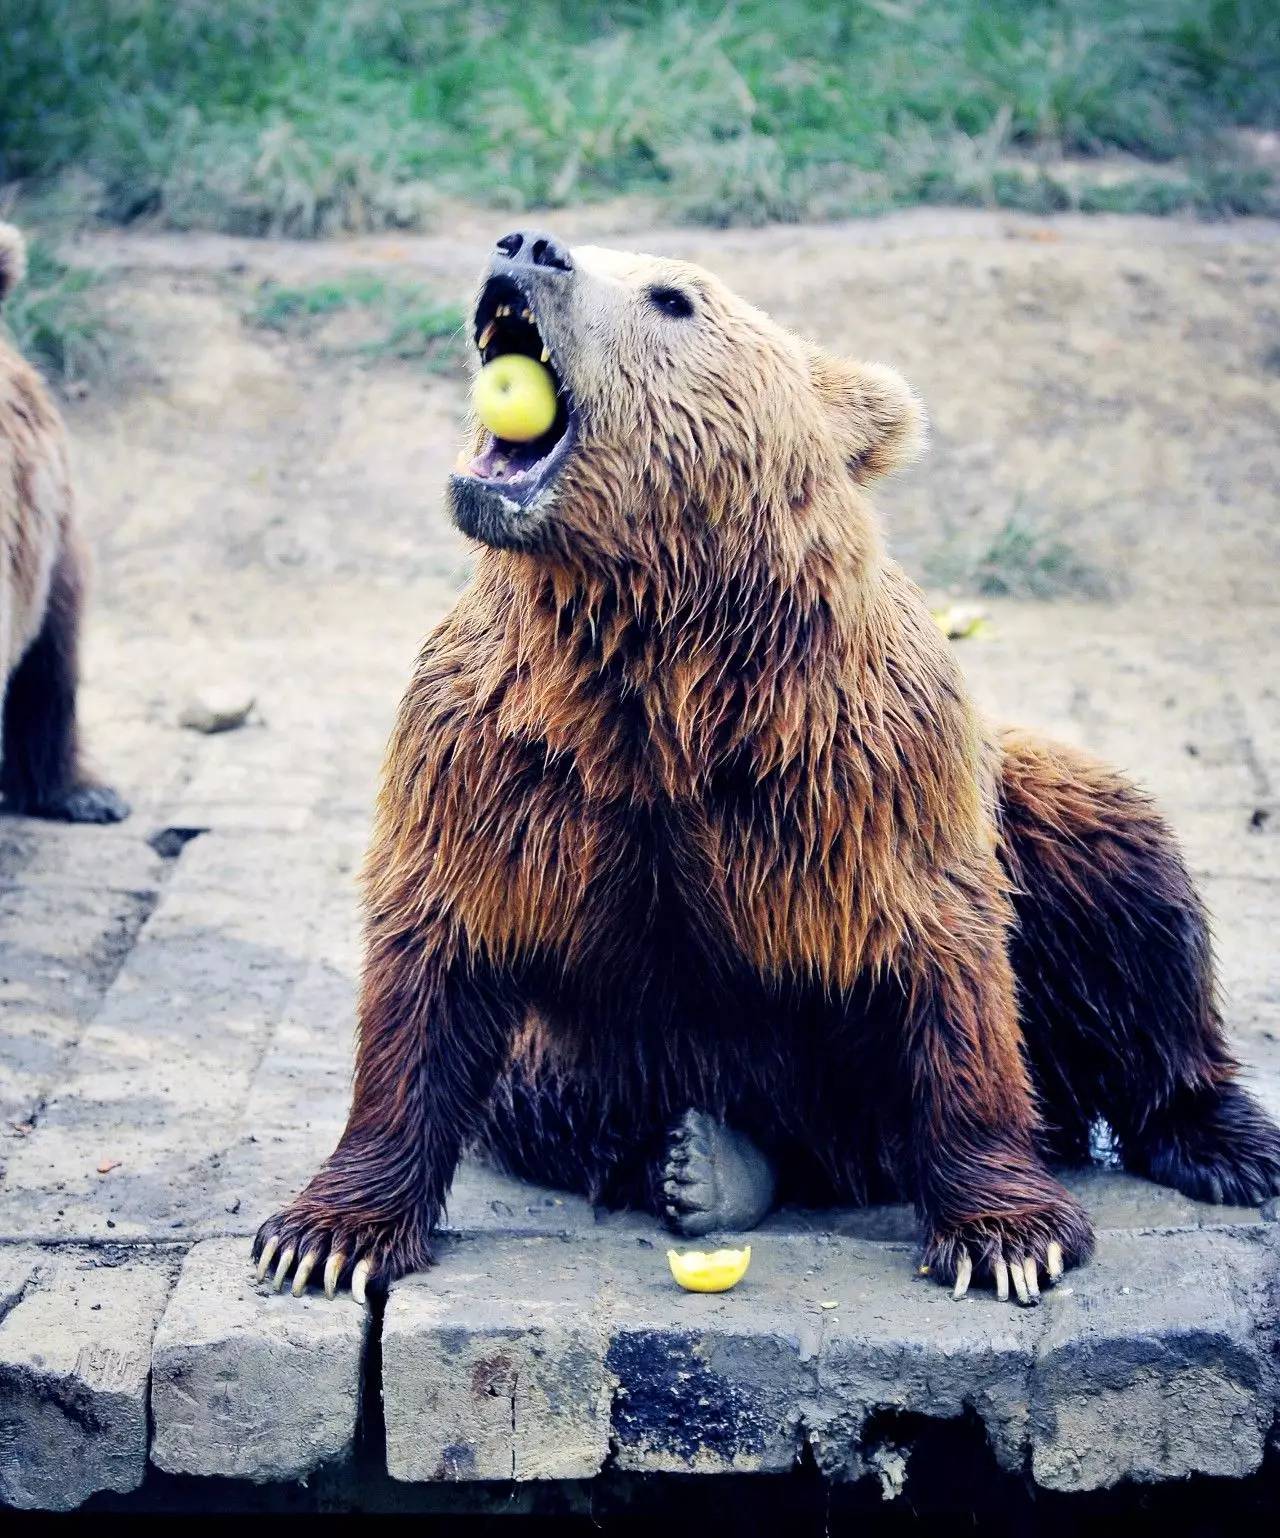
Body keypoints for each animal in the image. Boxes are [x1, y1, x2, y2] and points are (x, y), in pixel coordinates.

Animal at [255, 230, 1280, 1310]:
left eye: (671, 296)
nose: (527, 247)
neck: (665, 659)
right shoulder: (501, 750)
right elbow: (435, 951)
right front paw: (327, 1234)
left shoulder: (860, 760)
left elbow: (943, 956)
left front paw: (1006, 1234)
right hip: (572, 1071)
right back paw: (706, 1163)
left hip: (1024, 829)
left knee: (1122, 871)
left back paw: (1225, 1142)